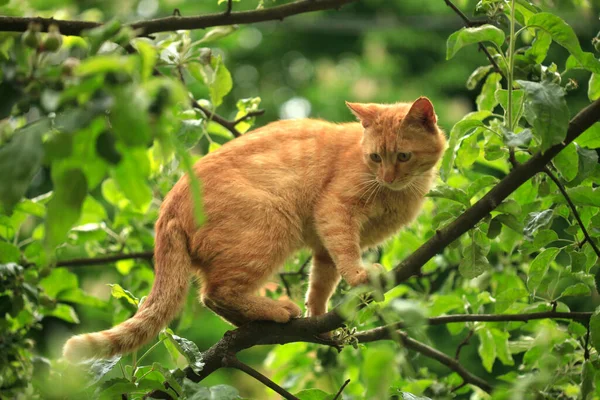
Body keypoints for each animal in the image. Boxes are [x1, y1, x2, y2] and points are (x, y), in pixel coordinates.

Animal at [63, 96, 446, 360]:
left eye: (403, 156)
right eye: (376, 157)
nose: (388, 177)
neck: (395, 193)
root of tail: (168, 207)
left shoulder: (323, 247)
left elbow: (320, 283)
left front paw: (319, 320)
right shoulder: (335, 213)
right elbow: (347, 255)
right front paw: (360, 276)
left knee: (215, 297)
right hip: (273, 223)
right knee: (215, 292)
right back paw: (276, 311)